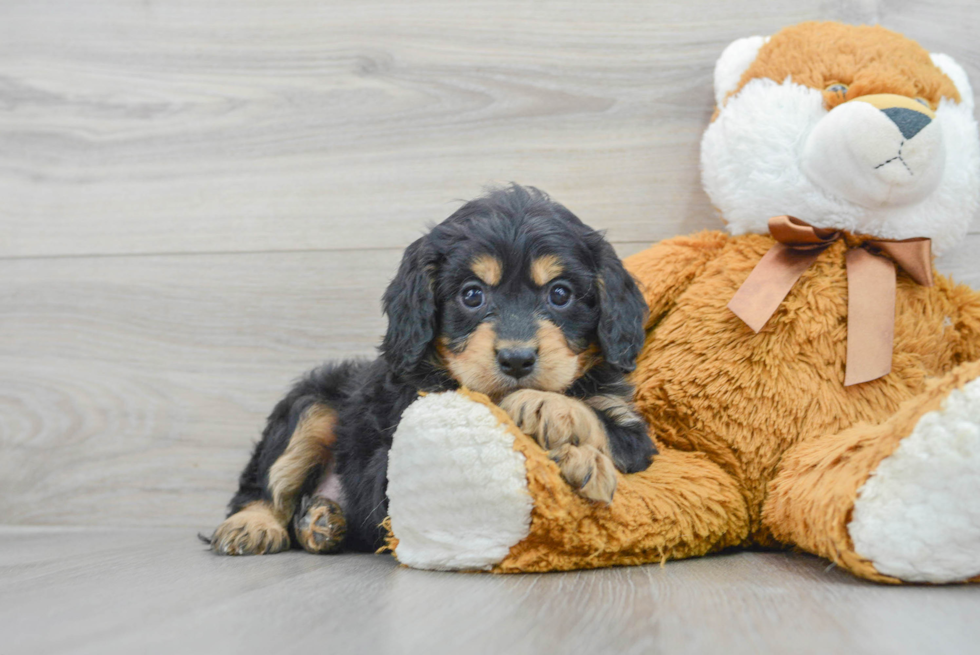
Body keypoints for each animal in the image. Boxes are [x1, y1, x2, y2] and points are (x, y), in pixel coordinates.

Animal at [213, 186, 660, 560]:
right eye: (472, 295)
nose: (517, 360)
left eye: (560, 294)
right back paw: (254, 524)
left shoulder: (632, 431)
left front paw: (556, 420)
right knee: (264, 483)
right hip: (313, 404)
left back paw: (320, 521)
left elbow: (605, 426)